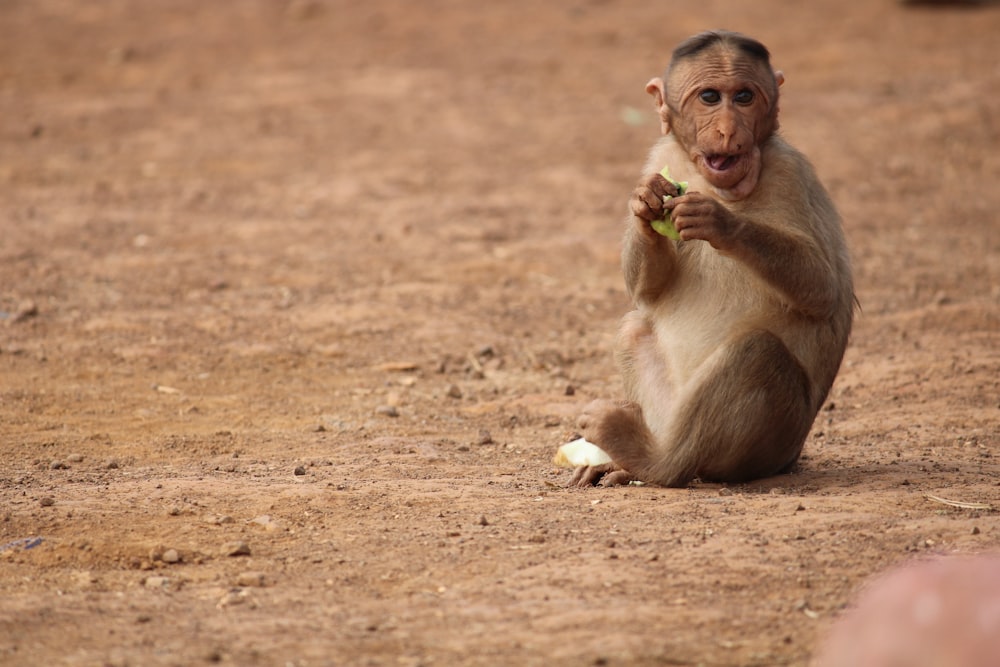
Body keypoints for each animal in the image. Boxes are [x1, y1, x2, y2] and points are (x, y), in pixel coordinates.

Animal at [572, 31, 852, 488]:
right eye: (708, 97)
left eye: (743, 97)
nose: (727, 128)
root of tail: (790, 458)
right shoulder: (661, 155)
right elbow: (647, 291)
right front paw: (646, 204)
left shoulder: (790, 172)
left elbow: (823, 289)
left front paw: (720, 222)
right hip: (673, 409)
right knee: (635, 328)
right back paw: (628, 460)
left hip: (775, 444)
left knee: (756, 352)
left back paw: (653, 461)